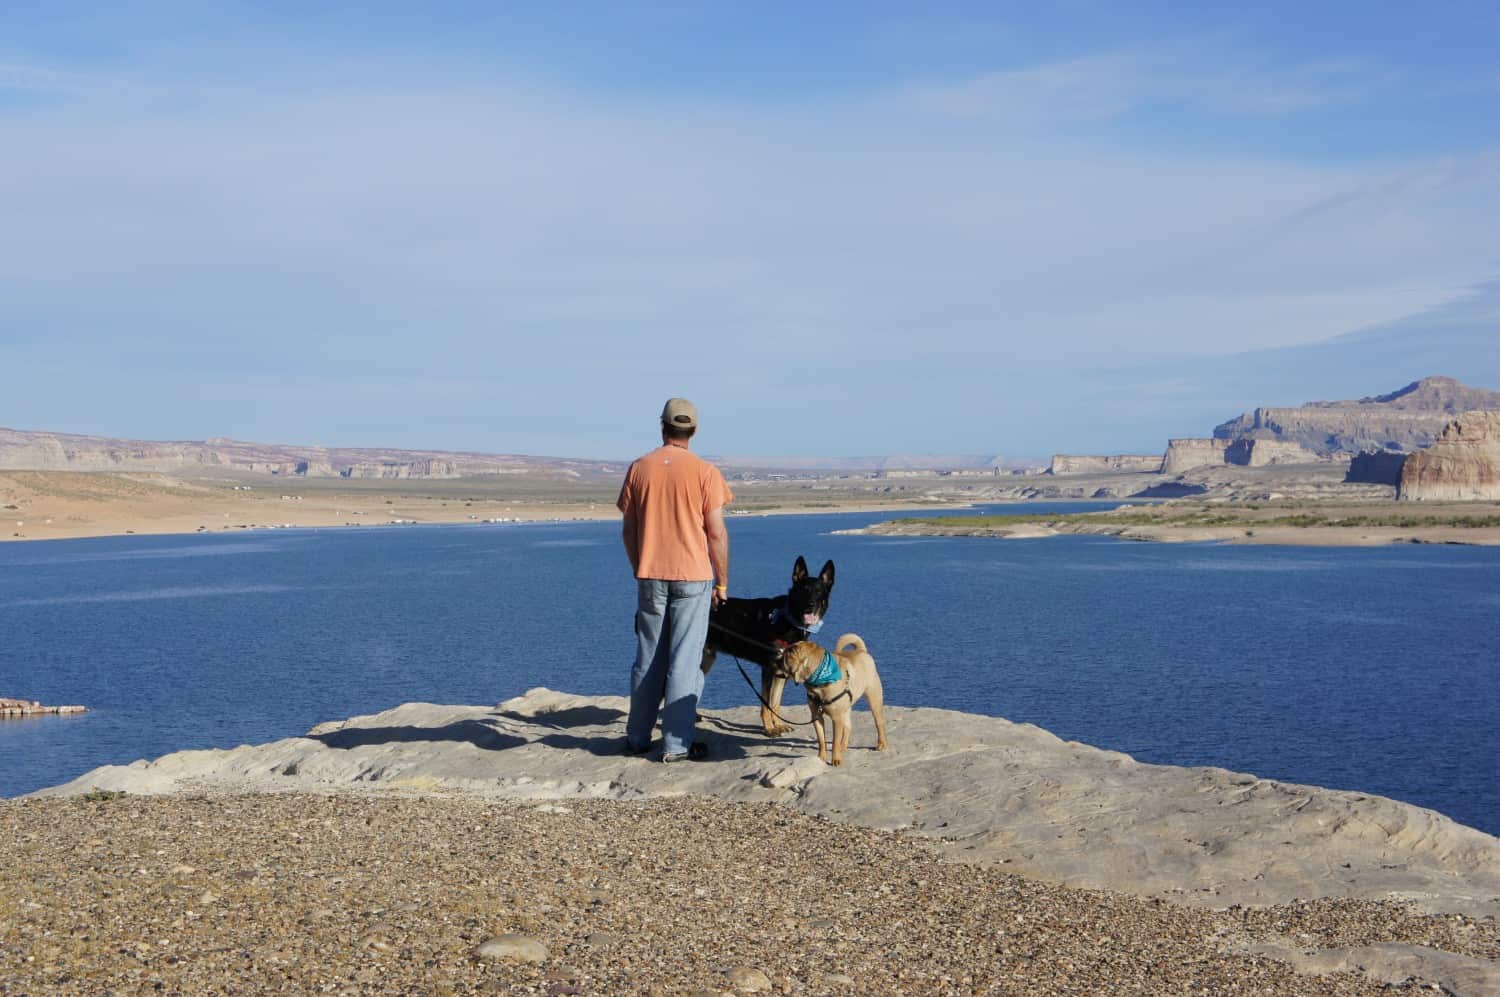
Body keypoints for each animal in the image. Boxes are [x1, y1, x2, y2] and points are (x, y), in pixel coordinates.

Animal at [780, 632, 882, 764]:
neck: (818, 680)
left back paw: (882, 745)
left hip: (874, 699)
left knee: (879, 723)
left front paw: (835, 759)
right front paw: (821, 758)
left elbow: (834, 742)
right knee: (848, 727)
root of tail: (861, 650)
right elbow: (821, 740)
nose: (776, 659)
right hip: (845, 708)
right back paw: (843, 747)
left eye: (785, 658)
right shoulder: (817, 716)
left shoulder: (836, 719)